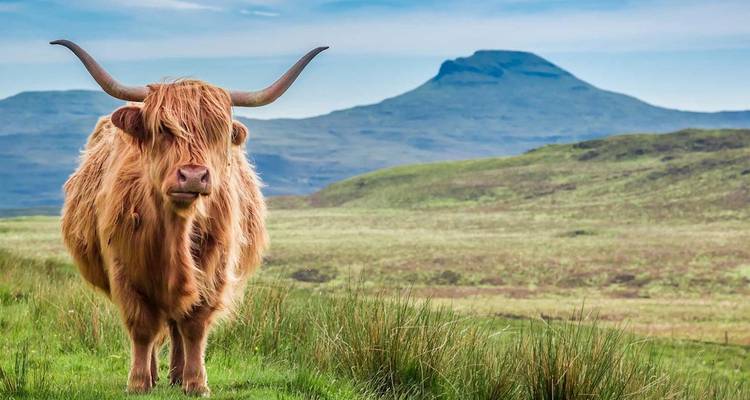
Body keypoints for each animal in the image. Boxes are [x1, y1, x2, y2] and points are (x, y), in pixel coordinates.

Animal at [53, 40, 326, 396]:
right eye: (162, 130)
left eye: (217, 133)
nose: (194, 176)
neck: (175, 232)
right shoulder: (124, 270)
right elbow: (142, 328)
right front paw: (138, 383)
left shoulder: (214, 272)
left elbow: (194, 326)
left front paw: (196, 383)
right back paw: (156, 374)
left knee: (176, 325)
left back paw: (176, 374)